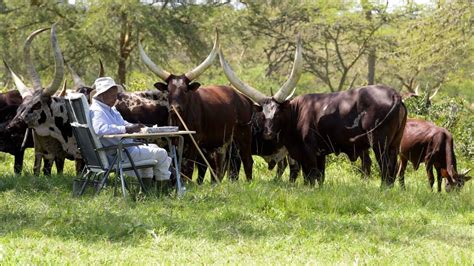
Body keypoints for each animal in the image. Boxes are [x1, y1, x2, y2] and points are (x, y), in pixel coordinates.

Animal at [220, 38, 406, 187]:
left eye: (278, 113)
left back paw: (383, 189)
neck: (296, 114)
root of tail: (394, 94)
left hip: (379, 144)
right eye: (263, 116)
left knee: (385, 167)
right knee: (393, 167)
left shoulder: (308, 152)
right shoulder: (319, 154)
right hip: (394, 144)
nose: (268, 133)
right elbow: (320, 177)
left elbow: (310, 176)